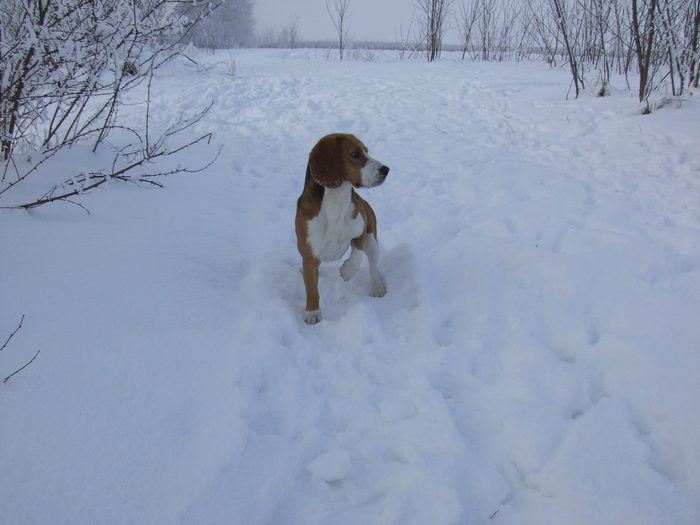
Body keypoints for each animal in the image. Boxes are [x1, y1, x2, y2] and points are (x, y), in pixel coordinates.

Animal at [294, 133, 392, 324]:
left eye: (367, 151)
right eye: (355, 154)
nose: (386, 170)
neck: (336, 200)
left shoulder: (360, 231)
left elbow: (357, 255)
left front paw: (347, 272)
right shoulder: (310, 257)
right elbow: (311, 289)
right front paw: (312, 312)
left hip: (372, 240)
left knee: (373, 266)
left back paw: (376, 287)